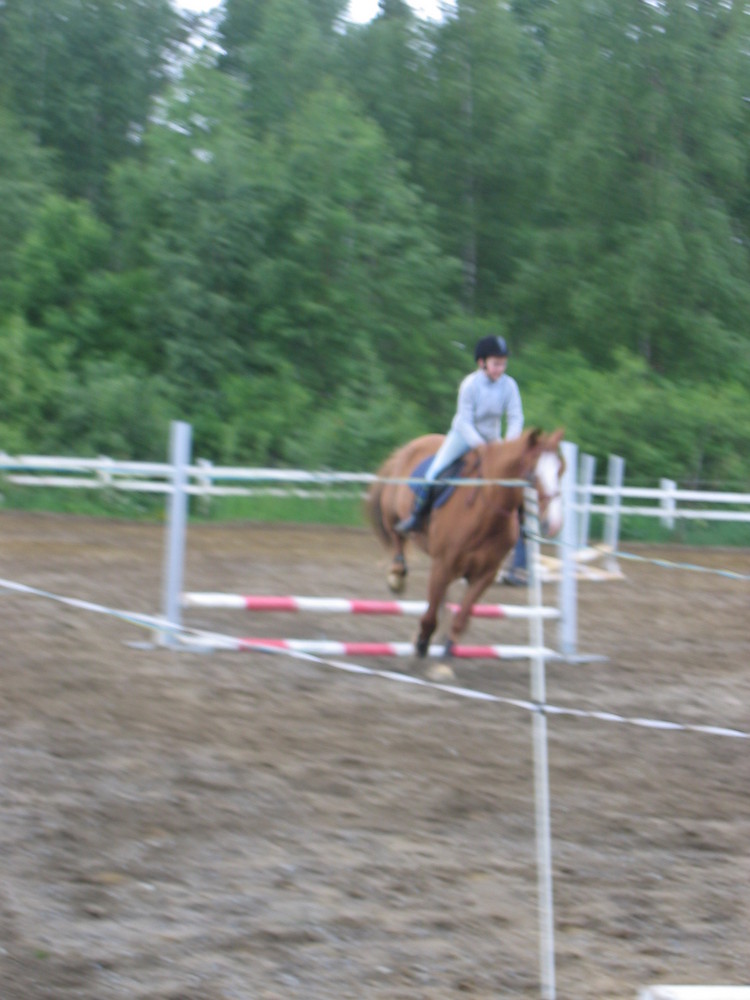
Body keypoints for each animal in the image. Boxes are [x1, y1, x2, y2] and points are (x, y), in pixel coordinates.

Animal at [368, 428, 568, 656]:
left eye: (560, 470)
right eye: (533, 474)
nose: (554, 524)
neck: (485, 515)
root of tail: (409, 446)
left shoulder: (485, 574)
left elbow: (462, 615)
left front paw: (448, 644)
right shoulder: (444, 563)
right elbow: (430, 614)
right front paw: (421, 640)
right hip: (393, 515)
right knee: (396, 538)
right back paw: (396, 576)